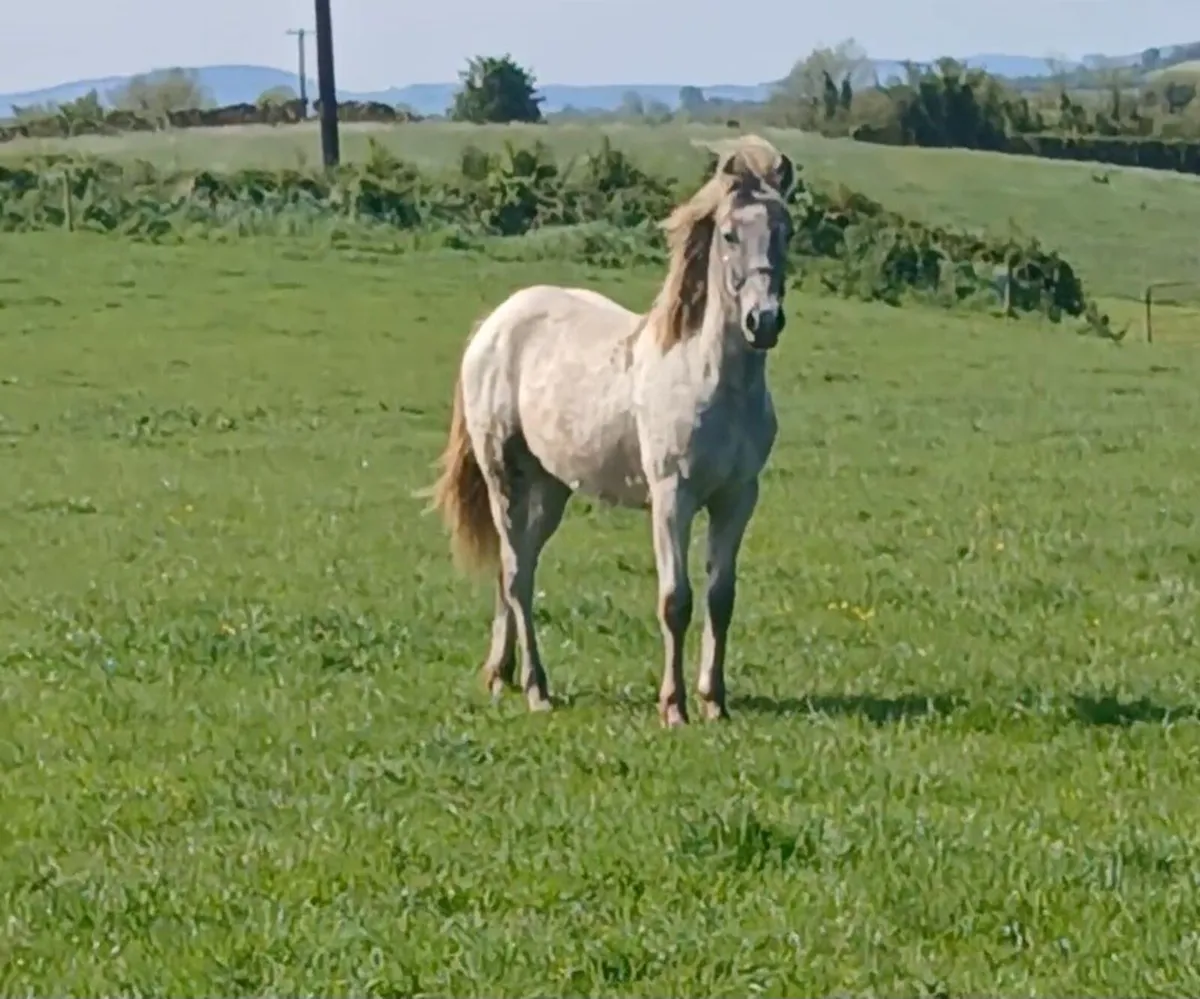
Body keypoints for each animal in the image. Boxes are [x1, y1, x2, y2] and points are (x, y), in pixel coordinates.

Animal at [425, 137, 796, 726]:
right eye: (730, 234)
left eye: (788, 232)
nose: (764, 322)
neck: (709, 378)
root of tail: (494, 325)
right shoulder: (672, 496)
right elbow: (675, 600)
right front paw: (673, 707)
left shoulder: (737, 498)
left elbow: (720, 598)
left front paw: (714, 701)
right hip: (504, 477)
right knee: (516, 574)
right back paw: (536, 688)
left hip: (550, 489)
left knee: (514, 567)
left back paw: (500, 675)